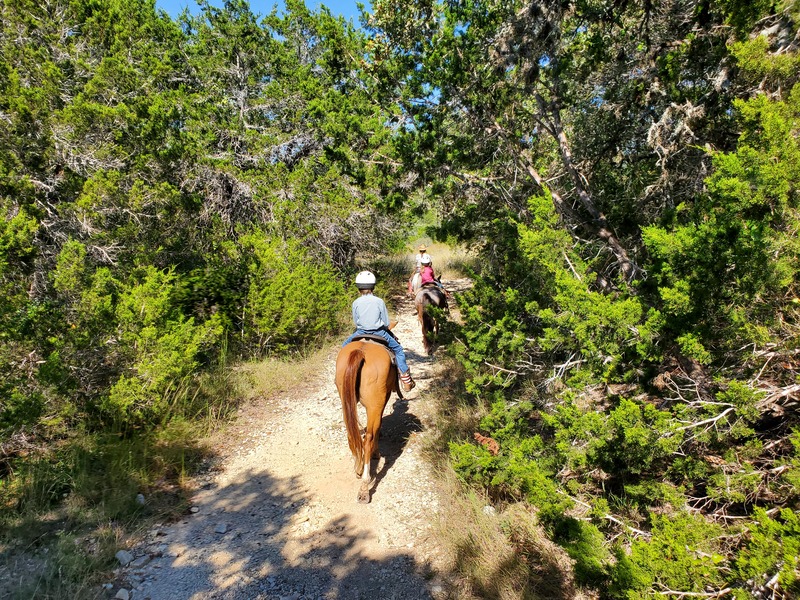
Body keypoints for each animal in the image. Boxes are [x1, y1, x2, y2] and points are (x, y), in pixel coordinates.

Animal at [332, 340, 398, 504]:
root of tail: (361, 352)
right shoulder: (383, 399)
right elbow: (377, 427)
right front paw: (376, 453)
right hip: (374, 404)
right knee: (367, 439)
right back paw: (364, 487)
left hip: (345, 400)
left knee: (352, 434)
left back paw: (358, 467)